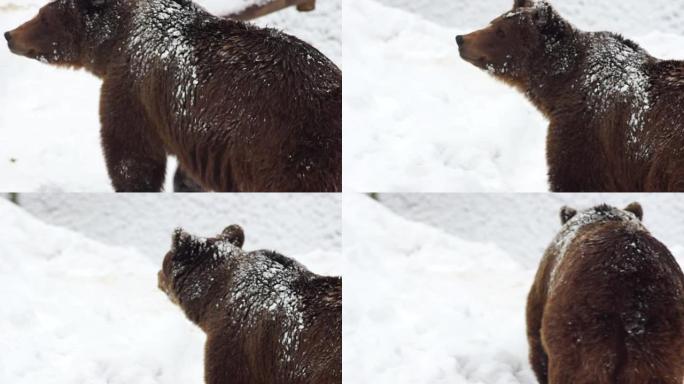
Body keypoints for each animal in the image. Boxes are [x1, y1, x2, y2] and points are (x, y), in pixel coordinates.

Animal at [2, 0, 340, 192]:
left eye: (42, 16)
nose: (9, 35)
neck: (113, 42)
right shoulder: (200, 134)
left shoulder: (133, 88)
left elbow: (131, 155)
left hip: (291, 152)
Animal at [456, 0, 684, 192]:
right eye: (494, 21)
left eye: (501, 31)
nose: (461, 39)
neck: (560, 85)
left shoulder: (585, 127)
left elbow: (576, 176)